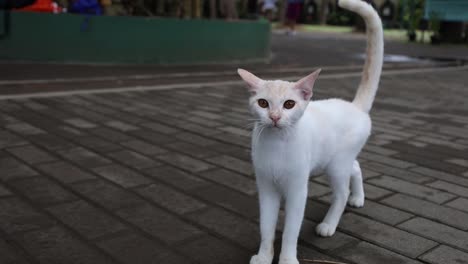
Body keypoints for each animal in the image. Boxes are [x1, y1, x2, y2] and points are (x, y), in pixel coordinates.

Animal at [238, 1, 384, 262]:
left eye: (289, 104)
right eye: (263, 103)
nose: (275, 117)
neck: (277, 144)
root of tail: (354, 106)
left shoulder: (298, 190)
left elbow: (290, 231)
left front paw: (287, 259)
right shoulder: (266, 189)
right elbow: (266, 228)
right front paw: (264, 256)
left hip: (336, 166)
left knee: (341, 193)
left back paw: (330, 223)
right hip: (334, 161)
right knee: (356, 167)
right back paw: (358, 198)